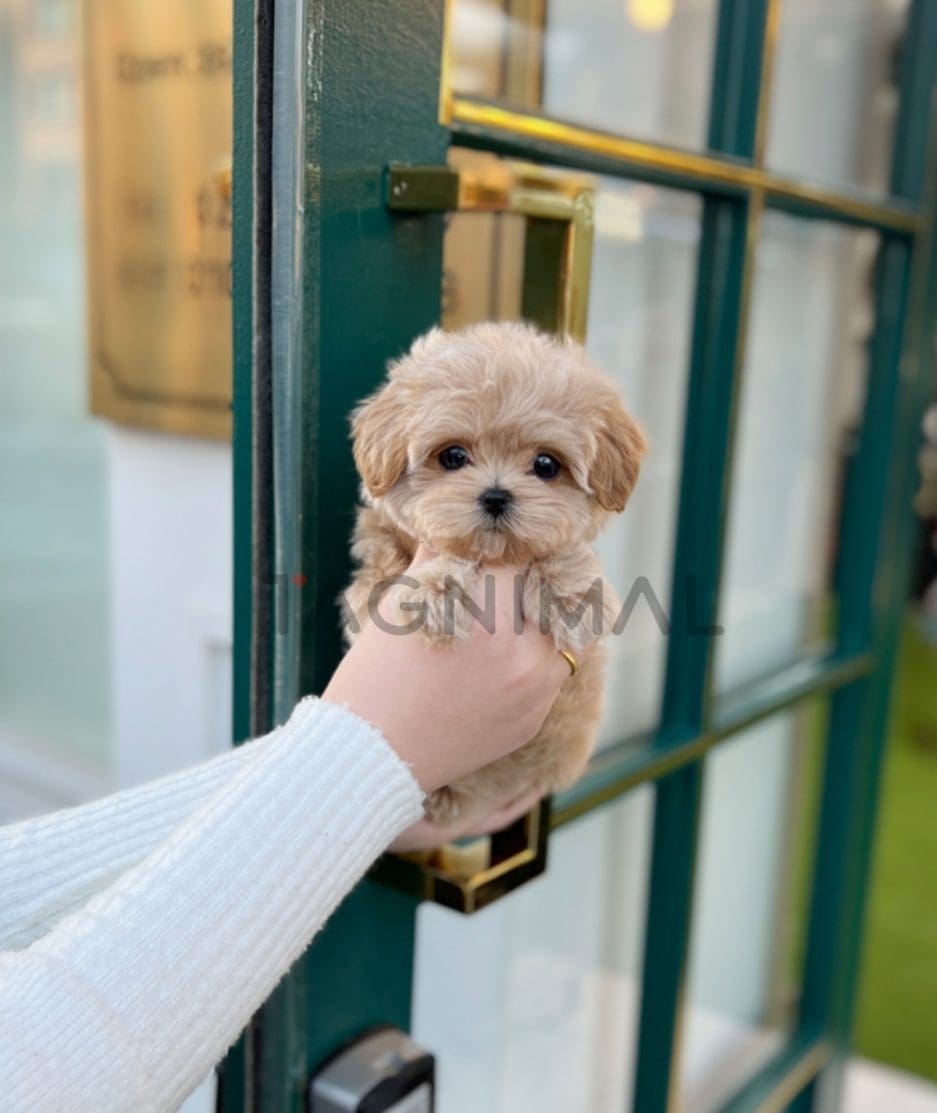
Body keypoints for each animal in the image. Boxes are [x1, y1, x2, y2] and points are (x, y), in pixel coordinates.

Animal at [340, 322, 640, 828]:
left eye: (545, 465)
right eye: (453, 456)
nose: (497, 496)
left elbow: (565, 555)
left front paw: (566, 593)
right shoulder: (378, 577)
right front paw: (438, 592)